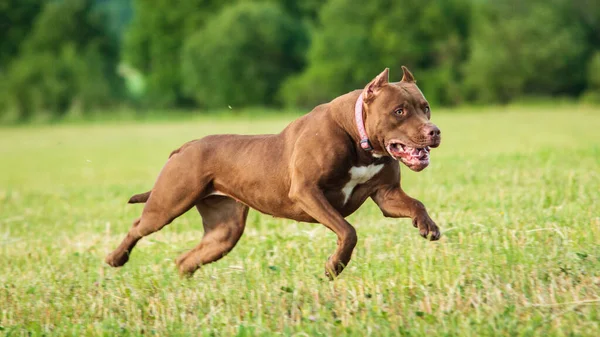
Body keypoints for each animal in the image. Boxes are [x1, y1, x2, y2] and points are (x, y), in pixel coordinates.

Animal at [105, 66, 440, 278]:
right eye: (399, 111)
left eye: (426, 108)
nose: (434, 131)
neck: (358, 137)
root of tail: (185, 146)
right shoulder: (307, 192)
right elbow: (348, 231)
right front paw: (334, 267)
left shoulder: (387, 195)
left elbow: (416, 203)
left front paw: (428, 225)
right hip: (169, 203)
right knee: (138, 226)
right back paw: (115, 258)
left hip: (224, 232)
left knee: (186, 259)